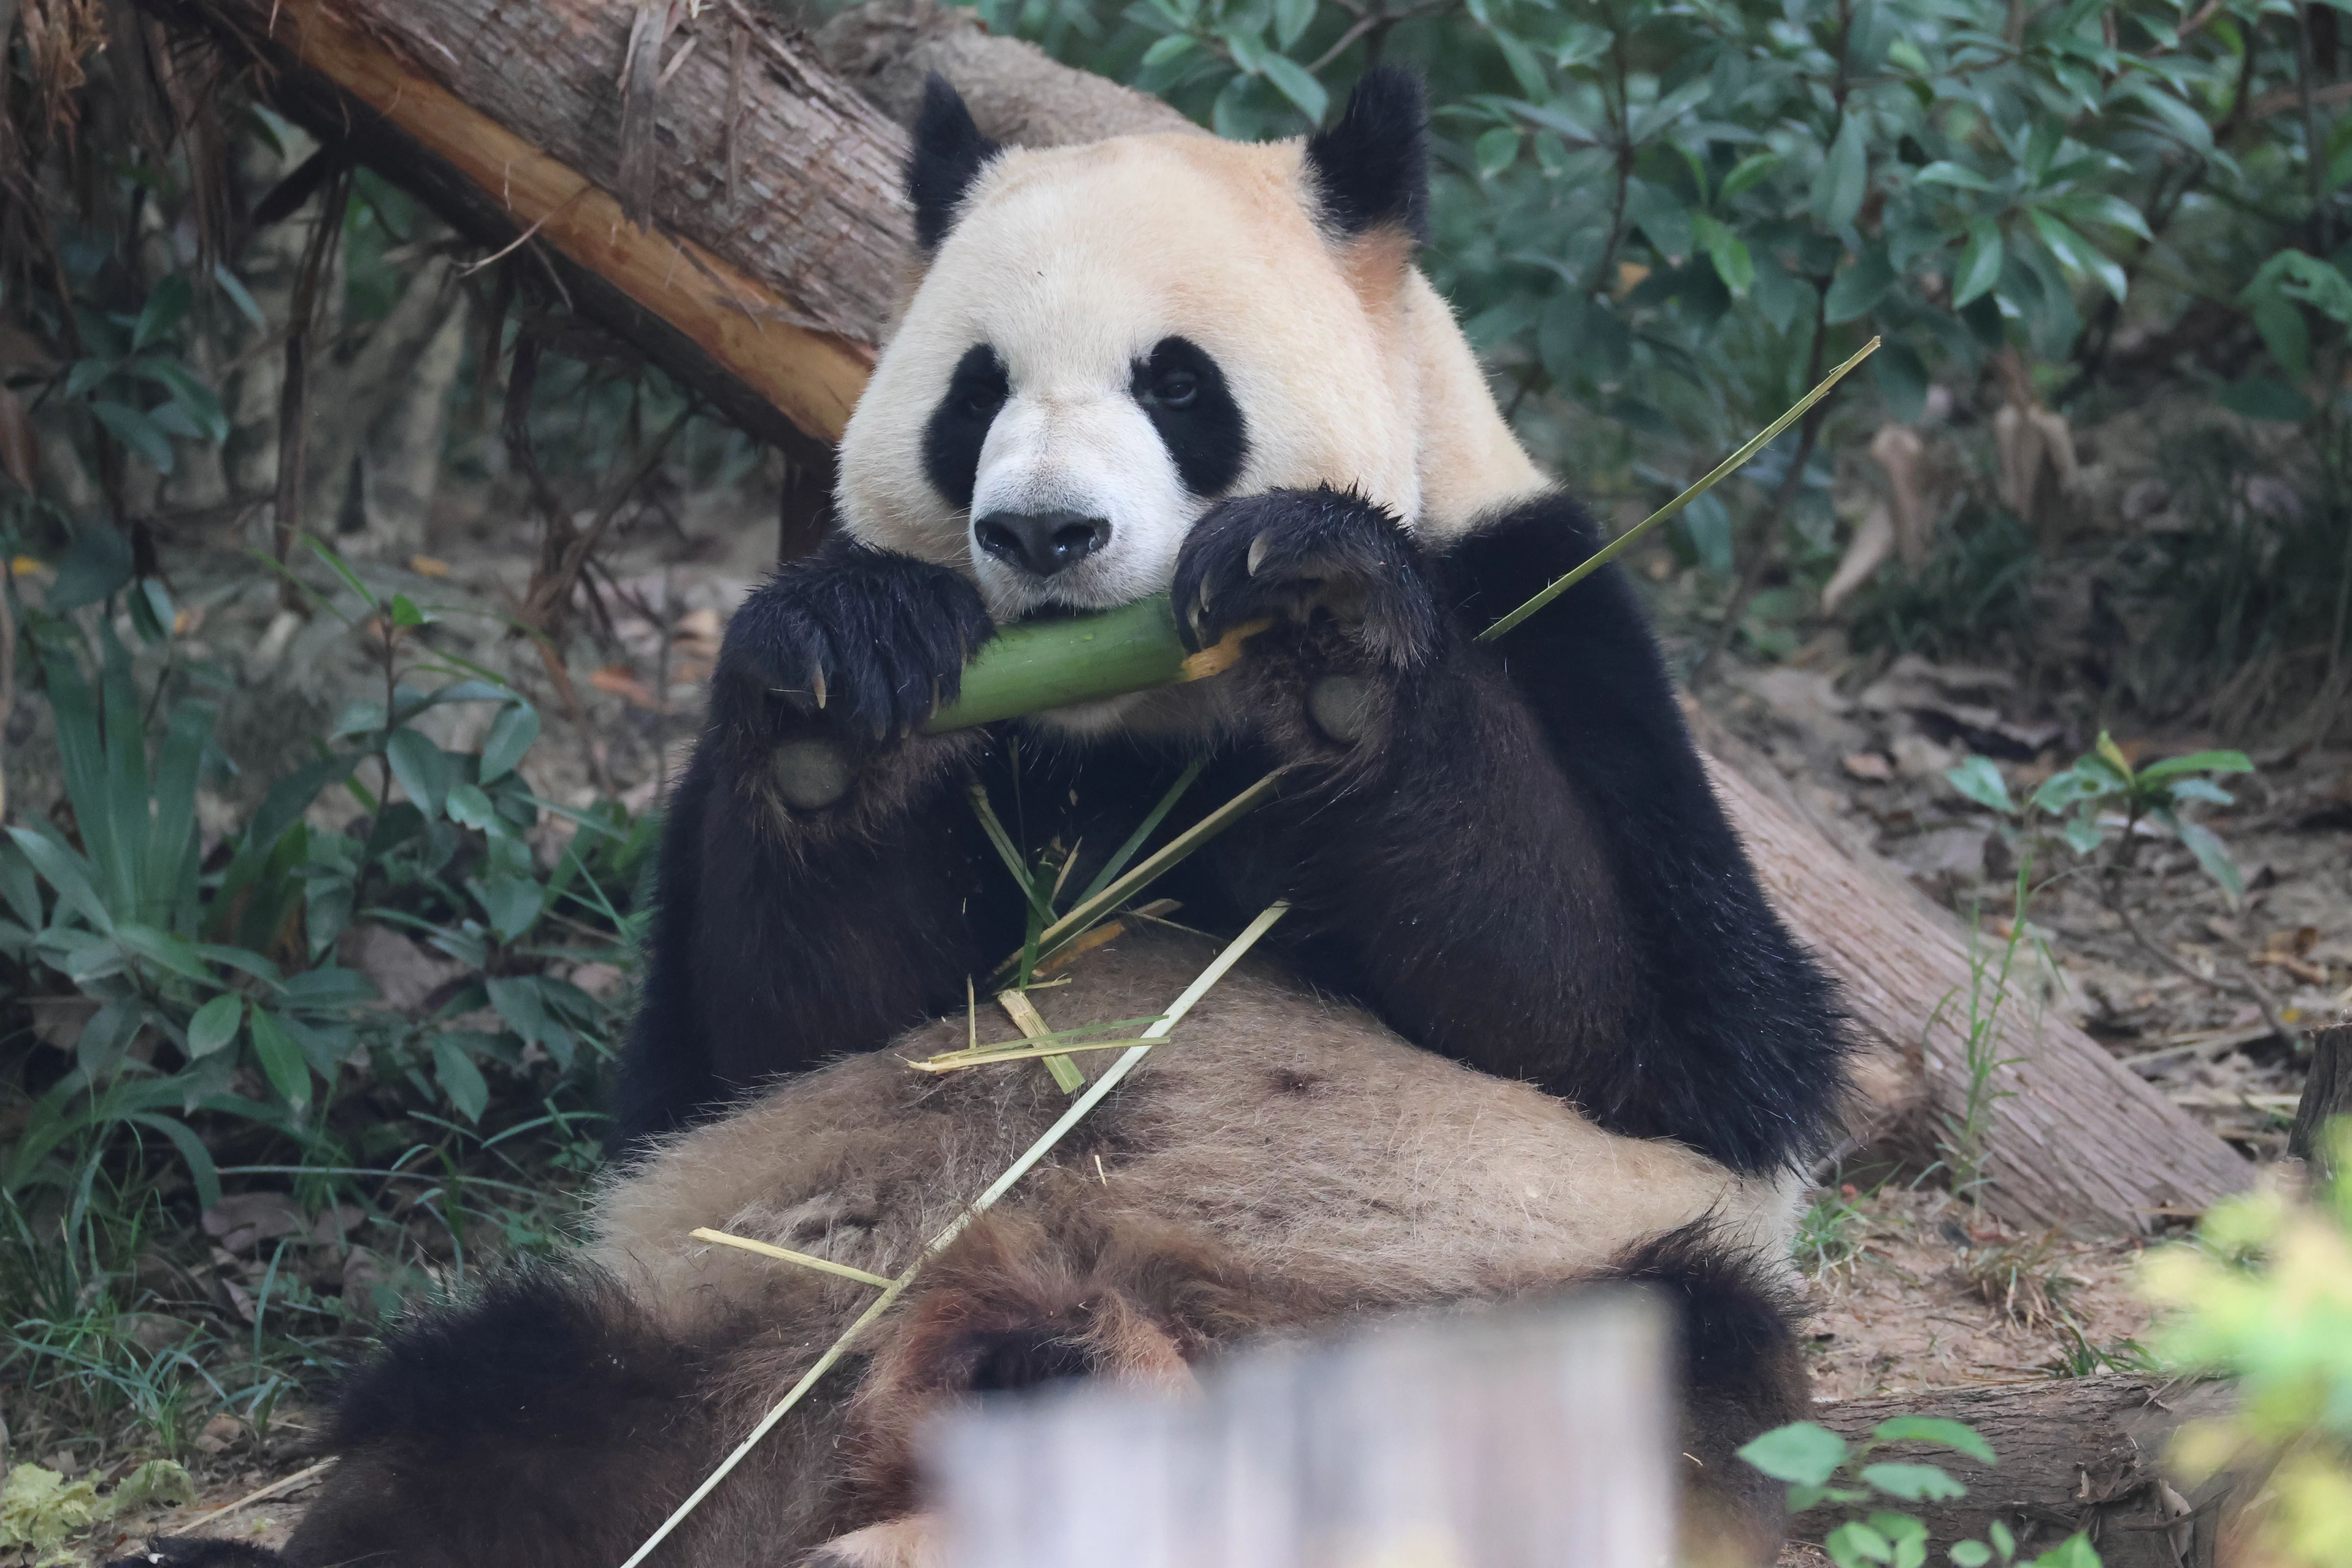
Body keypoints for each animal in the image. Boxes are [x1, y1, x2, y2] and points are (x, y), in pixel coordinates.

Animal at [135, 67, 1847, 1568]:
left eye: (1177, 382)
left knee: (1657, 1376)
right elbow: (758, 1033)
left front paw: (1328, 629)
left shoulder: (1545, 604)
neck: (1122, 726)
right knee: (490, 1417)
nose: (1042, 533)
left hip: (1466, 1304)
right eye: (976, 392)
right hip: (756, 1333)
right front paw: (837, 701)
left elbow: (1665, 1033)